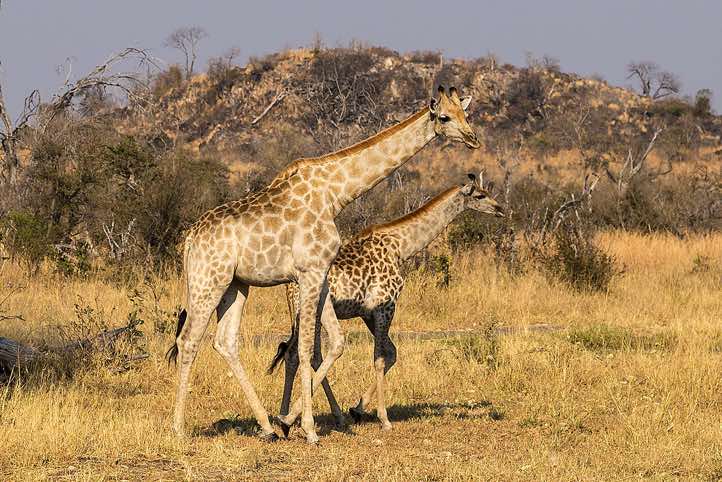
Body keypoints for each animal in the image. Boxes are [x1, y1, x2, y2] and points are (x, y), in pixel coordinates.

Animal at [268, 172, 503, 431]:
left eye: (487, 192)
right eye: (480, 195)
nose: (500, 209)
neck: (402, 247)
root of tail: (289, 283)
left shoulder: (368, 312)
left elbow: (391, 353)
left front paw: (358, 409)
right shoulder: (386, 306)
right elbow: (380, 358)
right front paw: (384, 418)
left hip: (302, 313)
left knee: (295, 354)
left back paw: (288, 415)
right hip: (313, 310)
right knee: (307, 353)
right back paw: (294, 417)